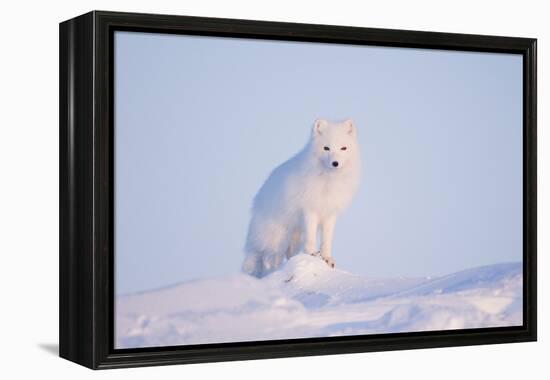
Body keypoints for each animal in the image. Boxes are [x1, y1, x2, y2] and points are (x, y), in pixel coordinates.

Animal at [243, 117, 362, 278]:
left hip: (293, 239)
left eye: (343, 148)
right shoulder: (309, 209)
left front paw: (327, 258)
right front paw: (312, 253)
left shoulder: (330, 213)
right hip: (277, 239)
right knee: (270, 261)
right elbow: (311, 236)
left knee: (288, 255)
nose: (335, 163)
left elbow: (327, 239)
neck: (328, 182)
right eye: (326, 148)